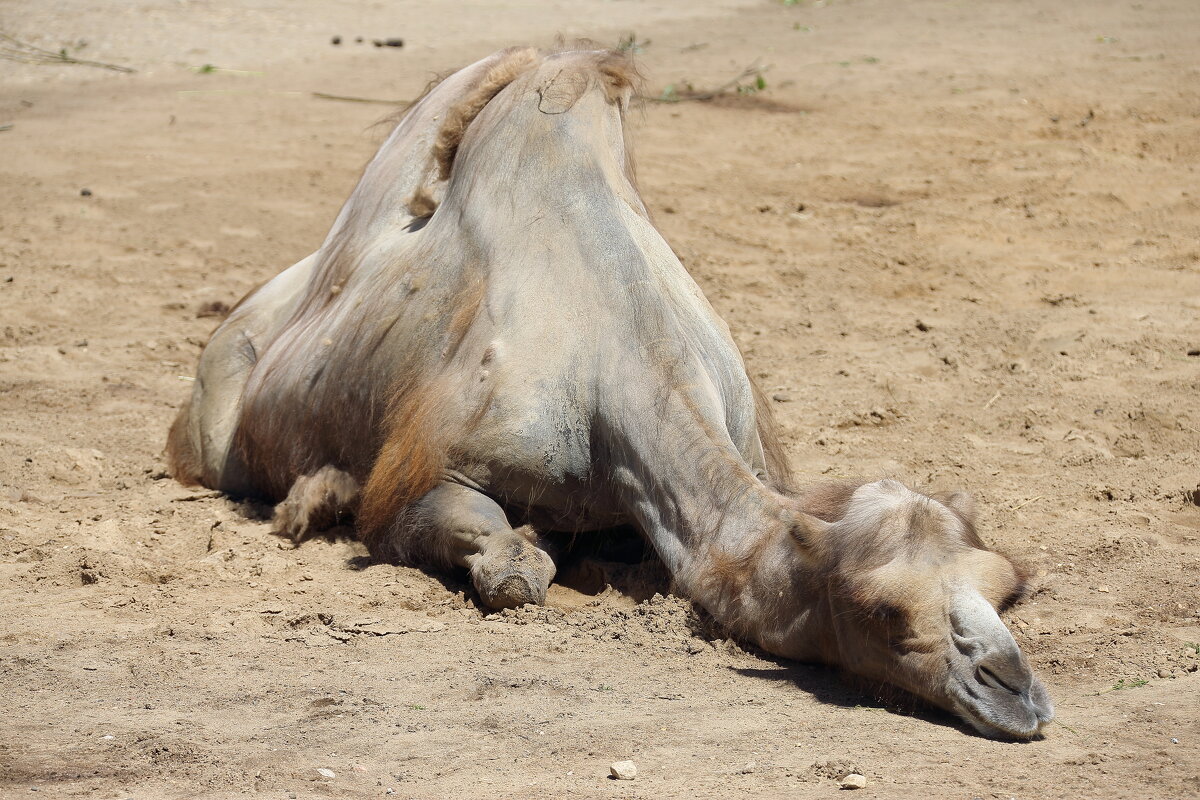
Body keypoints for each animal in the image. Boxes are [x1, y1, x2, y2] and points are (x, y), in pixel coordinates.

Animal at [169, 47, 1051, 743]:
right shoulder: (424, 469)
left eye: (1007, 588)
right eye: (878, 610)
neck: (618, 357)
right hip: (219, 410)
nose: (1021, 694)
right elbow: (511, 568)